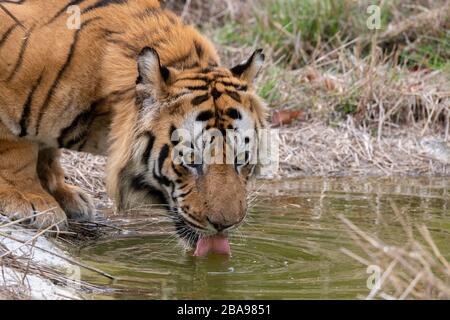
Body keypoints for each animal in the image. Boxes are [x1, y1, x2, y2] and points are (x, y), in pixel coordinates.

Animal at [0, 0, 268, 255]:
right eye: (192, 161)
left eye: (241, 159)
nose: (225, 225)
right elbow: (16, 152)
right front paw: (31, 199)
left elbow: (47, 152)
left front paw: (64, 194)